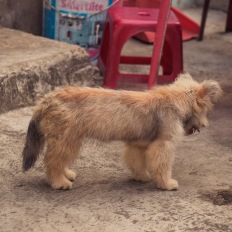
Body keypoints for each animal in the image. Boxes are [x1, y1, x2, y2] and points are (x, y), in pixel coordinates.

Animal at [22, 74, 223, 190]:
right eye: (206, 108)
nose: (205, 125)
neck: (175, 100)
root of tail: (47, 100)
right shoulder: (163, 145)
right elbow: (162, 165)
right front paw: (166, 184)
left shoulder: (137, 145)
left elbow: (136, 163)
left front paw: (141, 177)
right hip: (66, 140)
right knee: (52, 162)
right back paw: (59, 182)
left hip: (67, 140)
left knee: (58, 159)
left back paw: (66, 174)